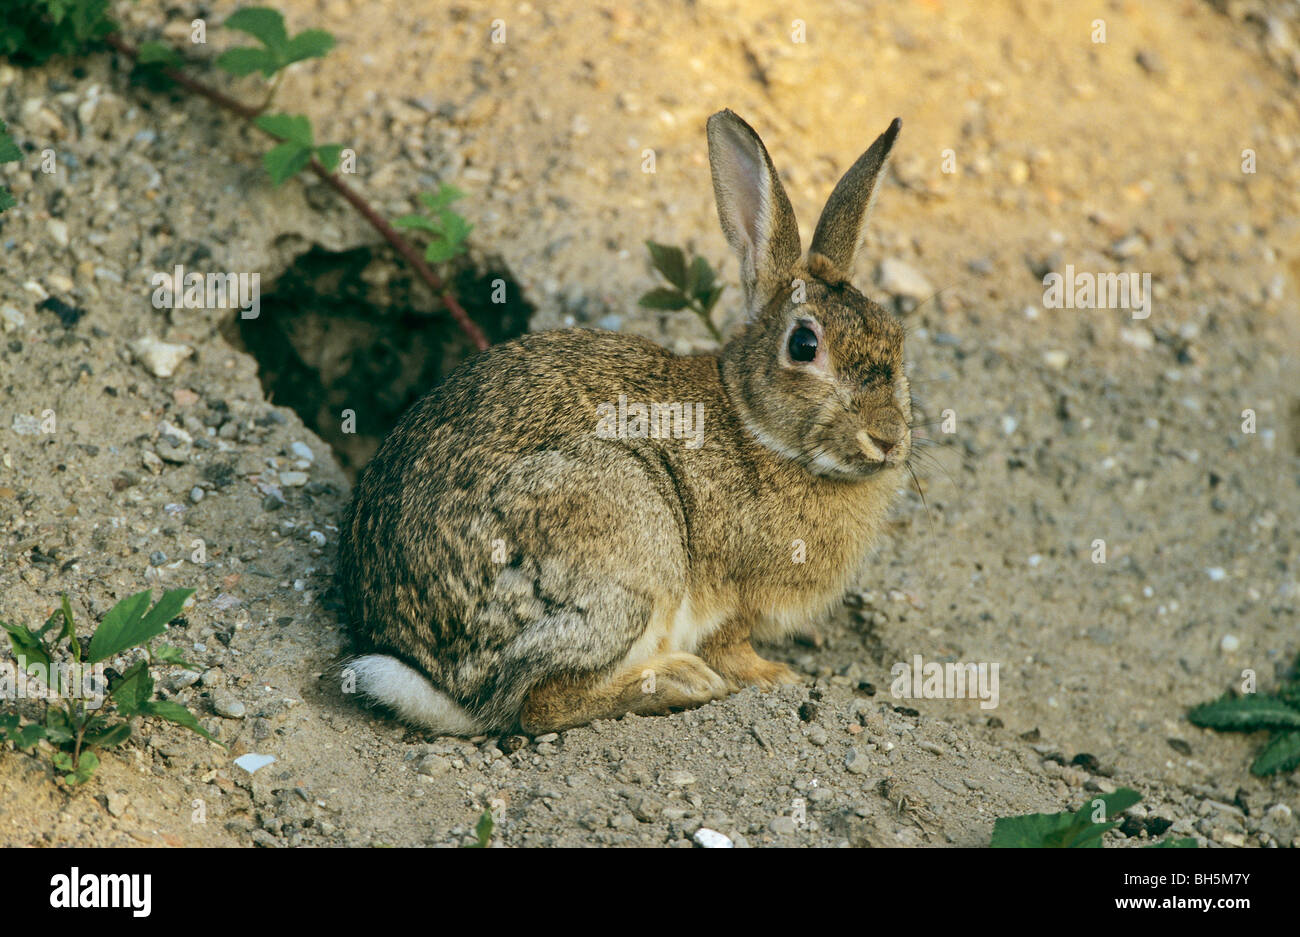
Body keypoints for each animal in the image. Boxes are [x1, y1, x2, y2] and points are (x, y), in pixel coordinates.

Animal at [336, 109, 911, 735]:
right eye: (805, 346)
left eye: (897, 337)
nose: (887, 439)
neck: (758, 428)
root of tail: (449, 689)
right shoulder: (734, 598)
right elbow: (732, 646)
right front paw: (774, 677)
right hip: (627, 540)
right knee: (539, 704)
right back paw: (676, 682)